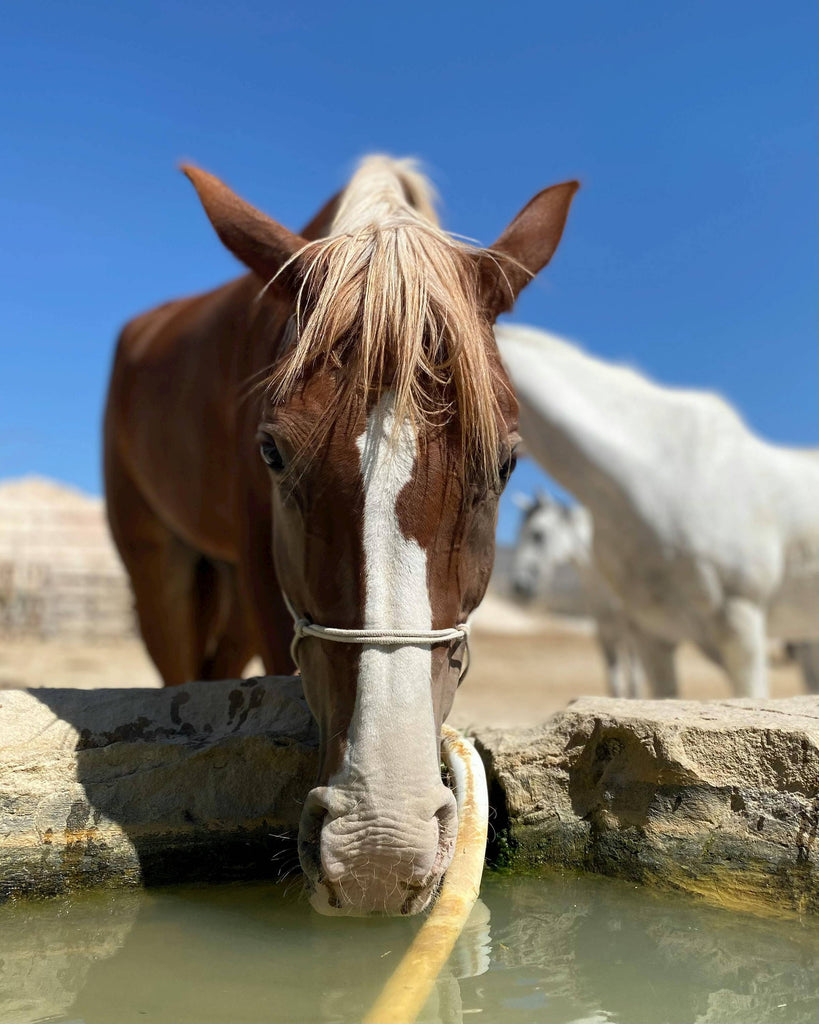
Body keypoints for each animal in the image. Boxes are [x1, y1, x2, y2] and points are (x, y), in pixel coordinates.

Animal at [511, 491, 647, 700]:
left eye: (537, 534)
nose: (519, 586)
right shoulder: (604, 631)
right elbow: (614, 683)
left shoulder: (635, 635)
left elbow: (634, 682)